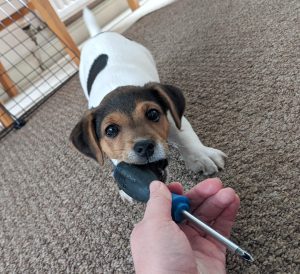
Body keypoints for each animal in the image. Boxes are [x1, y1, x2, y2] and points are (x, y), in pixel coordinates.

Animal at [69, 8, 225, 200]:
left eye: (153, 114)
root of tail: (99, 33)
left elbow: (185, 135)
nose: (144, 147)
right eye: (110, 130)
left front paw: (201, 157)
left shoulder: (172, 117)